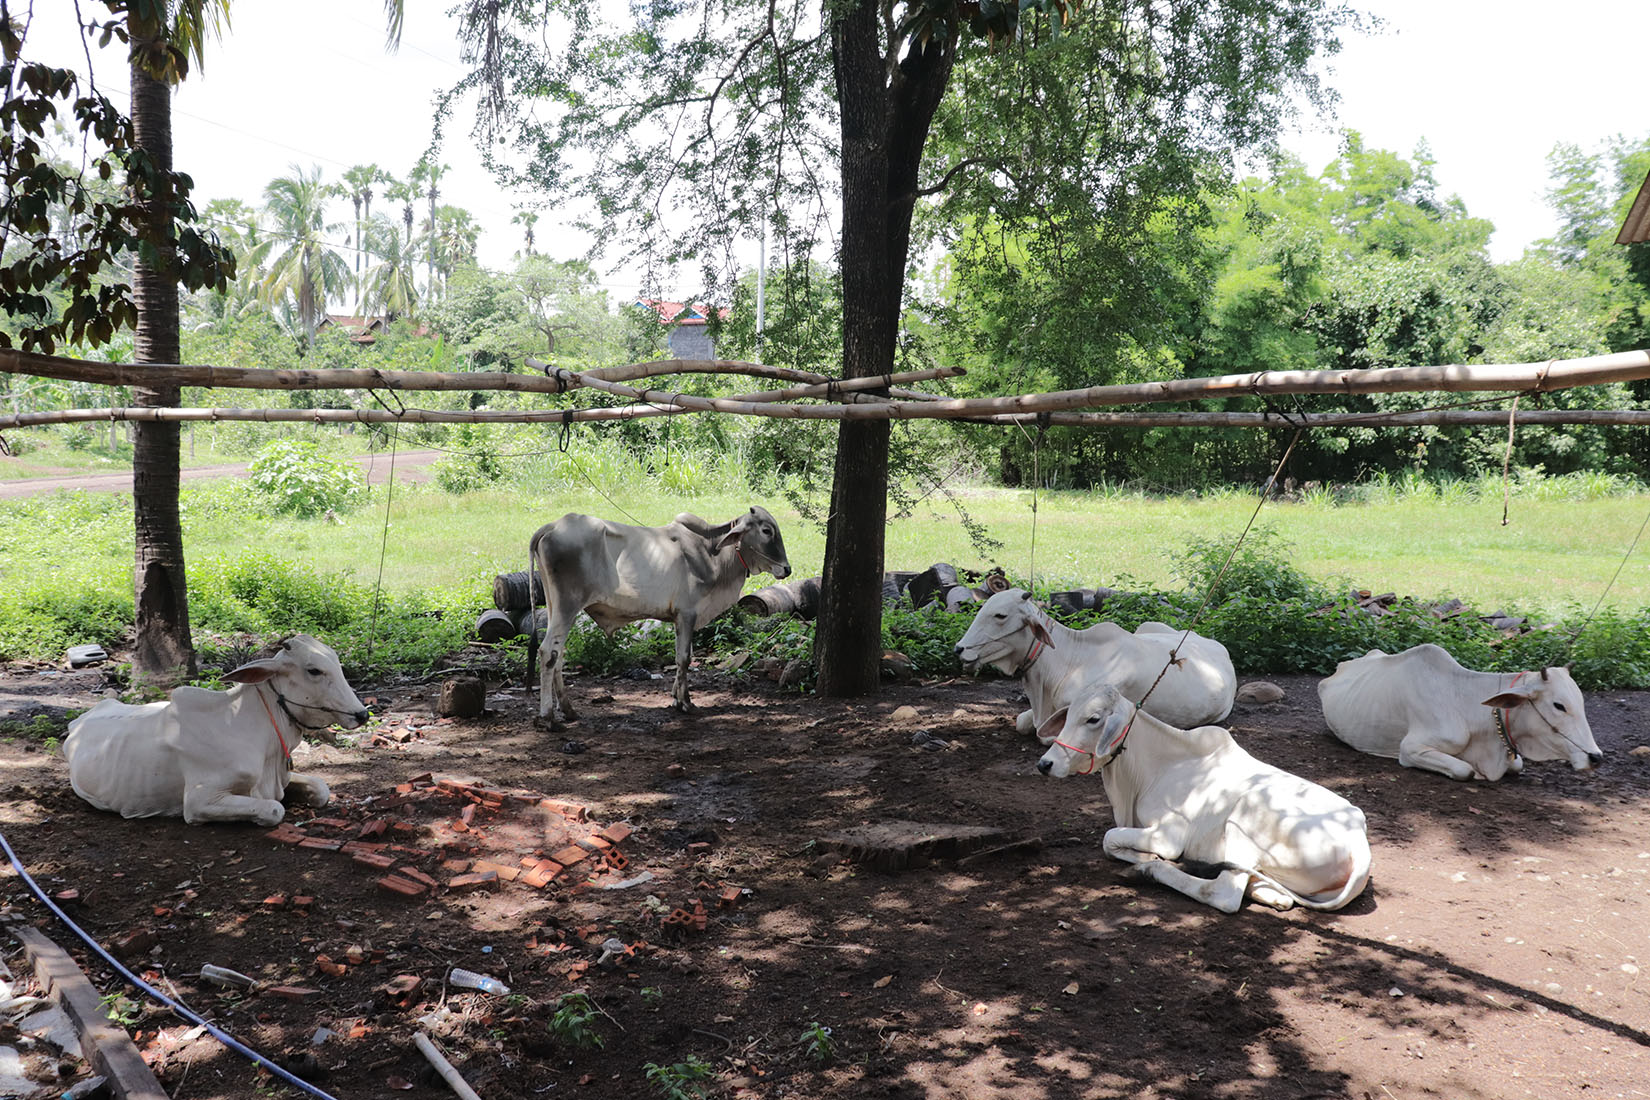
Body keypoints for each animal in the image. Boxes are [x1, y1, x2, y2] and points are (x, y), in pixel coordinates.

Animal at [528, 511, 785, 732]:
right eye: (766, 530)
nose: (787, 568)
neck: (710, 551)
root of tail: (552, 526)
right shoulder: (687, 614)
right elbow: (684, 658)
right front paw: (685, 703)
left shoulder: (678, 619)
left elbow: (680, 658)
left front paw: (675, 699)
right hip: (567, 605)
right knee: (548, 652)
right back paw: (549, 718)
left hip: (554, 606)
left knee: (559, 654)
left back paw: (568, 710)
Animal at [1036, 682, 1372, 916]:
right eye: (1068, 714)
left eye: (1093, 719)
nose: (1045, 764)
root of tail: (1358, 842)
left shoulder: (1169, 835)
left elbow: (1110, 839)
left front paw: (1150, 860)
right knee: (1275, 894)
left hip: (1243, 819)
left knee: (1224, 894)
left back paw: (1152, 871)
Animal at [1313, 646, 1597, 781]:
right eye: (1559, 705)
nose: (1596, 757)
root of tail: (1341, 666)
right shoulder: (1410, 748)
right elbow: (1464, 770)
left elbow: (1517, 764)